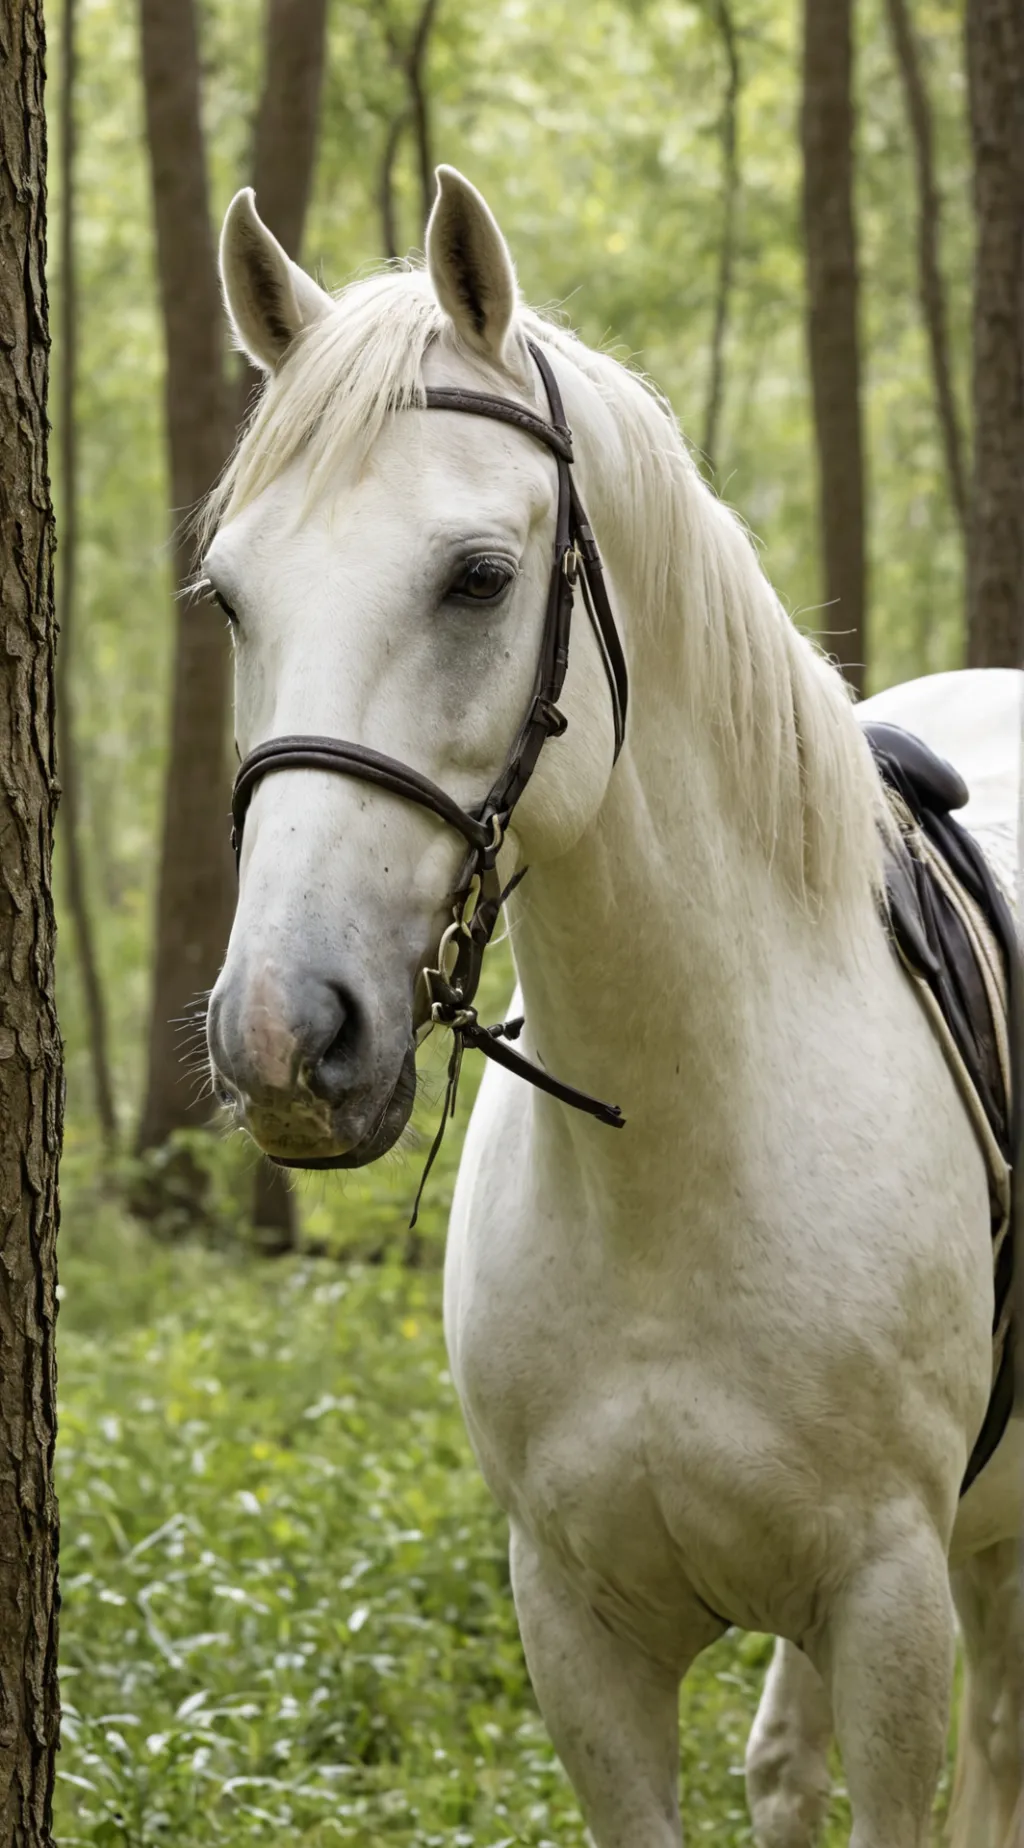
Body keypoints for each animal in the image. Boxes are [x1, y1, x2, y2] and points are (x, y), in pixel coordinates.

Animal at [202, 166, 1023, 1847]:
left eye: (478, 577)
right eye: (234, 597)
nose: (283, 1040)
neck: (683, 1140)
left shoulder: (892, 1610)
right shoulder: (578, 1634)